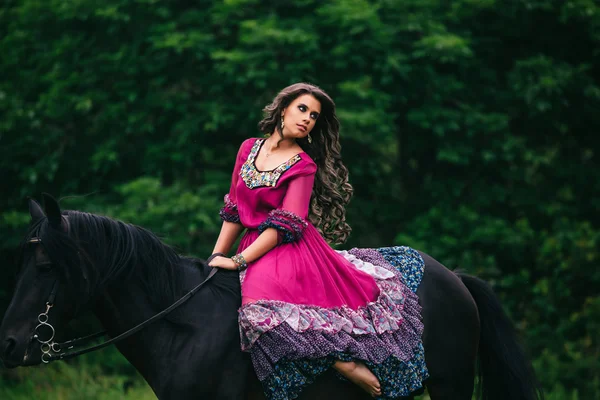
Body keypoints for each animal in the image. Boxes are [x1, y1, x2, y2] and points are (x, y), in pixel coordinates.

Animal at [1, 196, 544, 400]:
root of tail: (455, 279)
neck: (184, 328)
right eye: (21, 264)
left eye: (46, 267)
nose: (8, 344)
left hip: (451, 384)